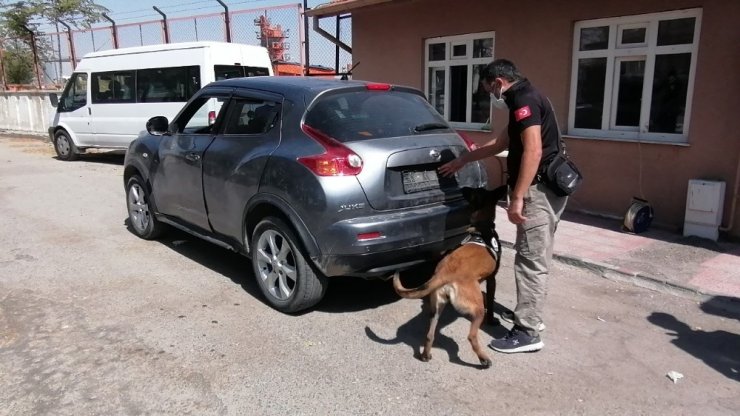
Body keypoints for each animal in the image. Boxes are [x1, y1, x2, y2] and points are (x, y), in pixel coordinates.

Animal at [394, 185, 508, 368]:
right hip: (476, 309)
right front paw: (492, 320)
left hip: (437, 308)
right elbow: (491, 303)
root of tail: (444, 273)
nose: (463, 187)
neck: (481, 227)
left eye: (474, 190)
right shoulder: (492, 279)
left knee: (429, 334)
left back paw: (426, 355)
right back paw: (483, 359)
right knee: (471, 336)